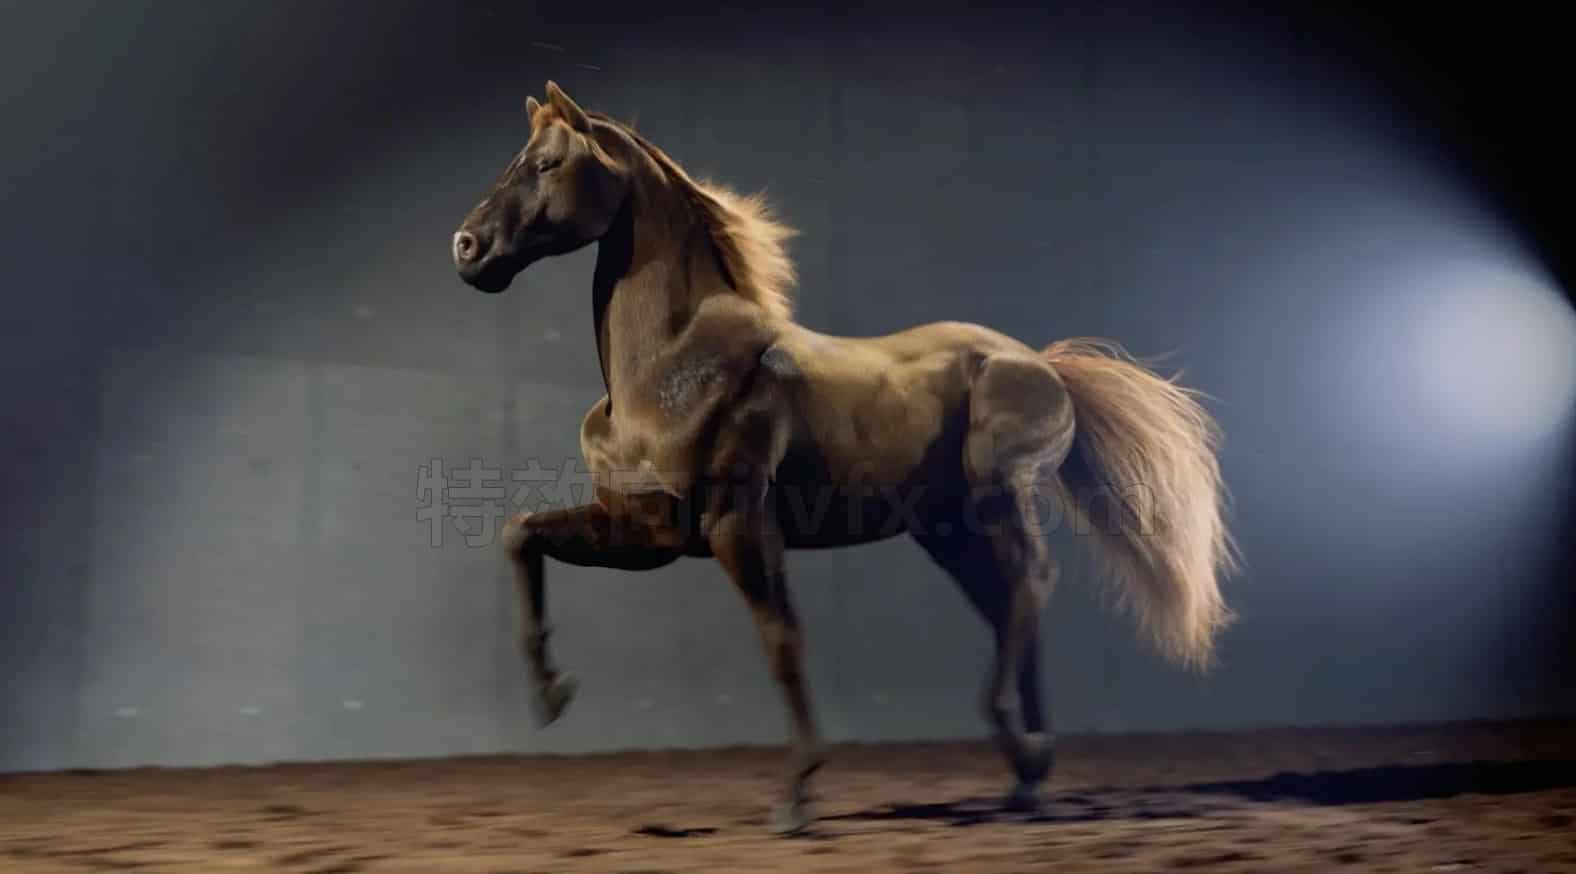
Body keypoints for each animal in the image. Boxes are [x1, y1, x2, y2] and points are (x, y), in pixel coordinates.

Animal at [451, 81, 1237, 834]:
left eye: (547, 163)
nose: (466, 247)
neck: (669, 368)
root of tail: (1042, 365)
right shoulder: (646, 531)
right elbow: (521, 534)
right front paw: (552, 695)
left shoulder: (737, 524)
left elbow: (781, 638)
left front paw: (796, 797)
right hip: (946, 530)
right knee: (1009, 598)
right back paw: (1026, 777)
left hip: (996, 497)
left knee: (1029, 584)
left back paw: (1024, 751)